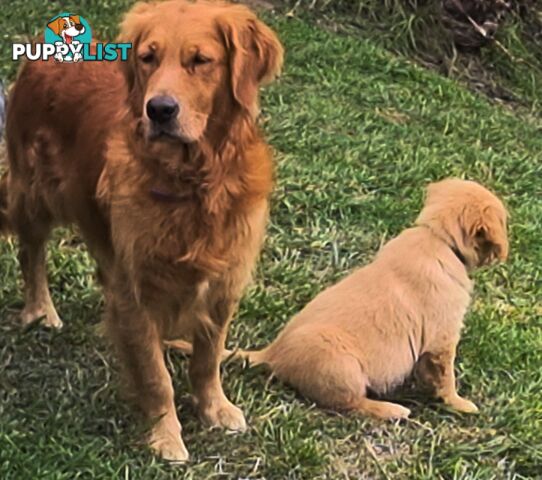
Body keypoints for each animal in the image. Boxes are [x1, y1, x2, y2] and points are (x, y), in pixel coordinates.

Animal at [1, 0, 284, 464]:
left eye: (200, 61)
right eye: (149, 58)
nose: (159, 110)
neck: (193, 181)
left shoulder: (225, 280)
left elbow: (208, 359)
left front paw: (215, 408)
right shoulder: (135, 290)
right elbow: (155, 375)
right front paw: (166, 435)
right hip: (35, 193)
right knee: (31, 252)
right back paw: (40, 310)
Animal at [170, 178, 510, 418]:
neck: (438, 237)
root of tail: (272, 353)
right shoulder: (443, 338)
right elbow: (446, 376)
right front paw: (458, 403)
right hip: (344, 368)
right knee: (348, 404)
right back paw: (391, 410)